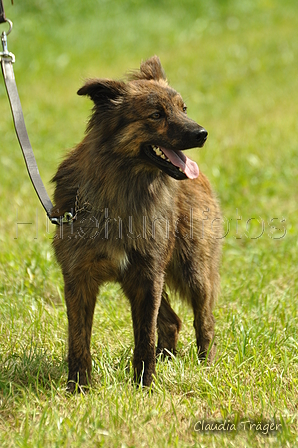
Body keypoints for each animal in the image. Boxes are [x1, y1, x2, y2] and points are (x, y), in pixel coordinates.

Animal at [51, 57, 221, 392]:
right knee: (172, 321)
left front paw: (145, 387)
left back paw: (204, 366)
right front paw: (79, 388)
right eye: (156, 115)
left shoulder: (147, 275)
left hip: (193, 271)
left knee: (203, 320)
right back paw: (169, 359)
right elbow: (78, 340)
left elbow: (145, 337)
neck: (121, 190)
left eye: (183, 108)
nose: (202, 133)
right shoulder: (79, 278)